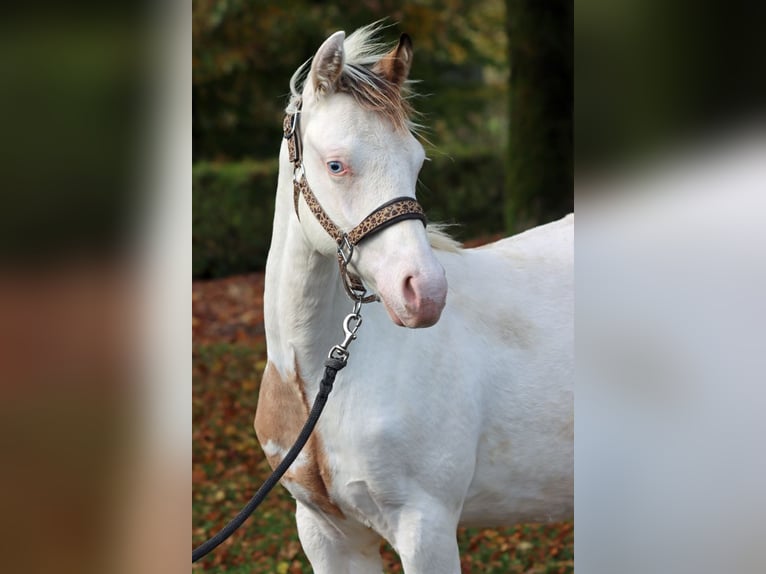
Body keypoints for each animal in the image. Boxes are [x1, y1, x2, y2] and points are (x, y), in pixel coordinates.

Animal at [254, 22, 573, 574]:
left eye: (417, 161)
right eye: (335, 164)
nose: (425, 293)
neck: (318, 382)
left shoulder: (425, 527)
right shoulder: (327, 535)